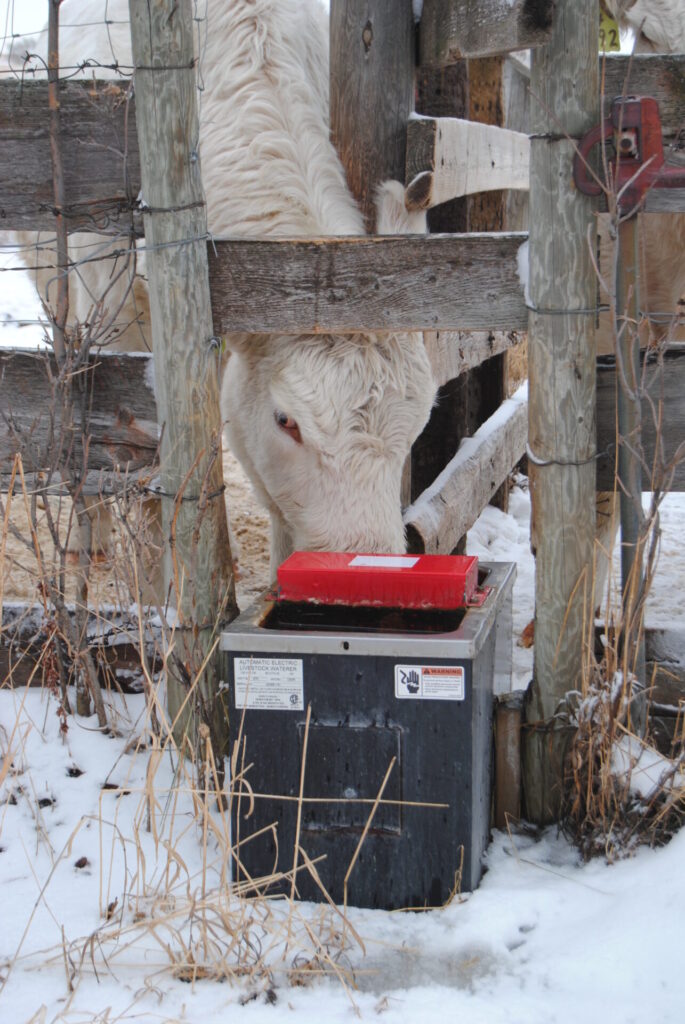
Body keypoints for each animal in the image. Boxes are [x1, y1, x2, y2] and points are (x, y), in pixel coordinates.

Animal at [7, 0, 436, 577]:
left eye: (417, 426)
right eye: (286, 421)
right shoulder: (118, 318)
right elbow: (135, 455)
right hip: (57, 293)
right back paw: (86, 538)